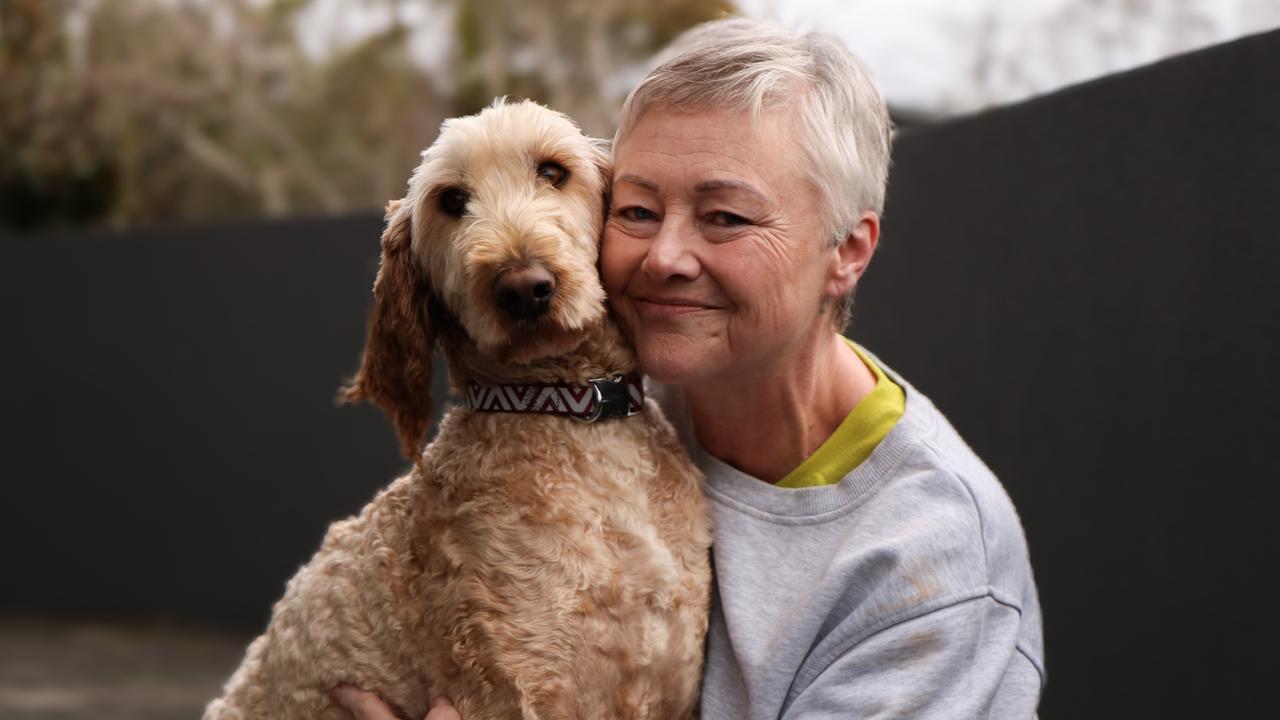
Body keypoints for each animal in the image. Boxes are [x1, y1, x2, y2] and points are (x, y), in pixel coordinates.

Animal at [204, 99, 716, 717]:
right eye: (451, 201)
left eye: (553, 171)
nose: (523, 287)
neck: (568, 413)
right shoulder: (508, 691)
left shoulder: (673, 683)